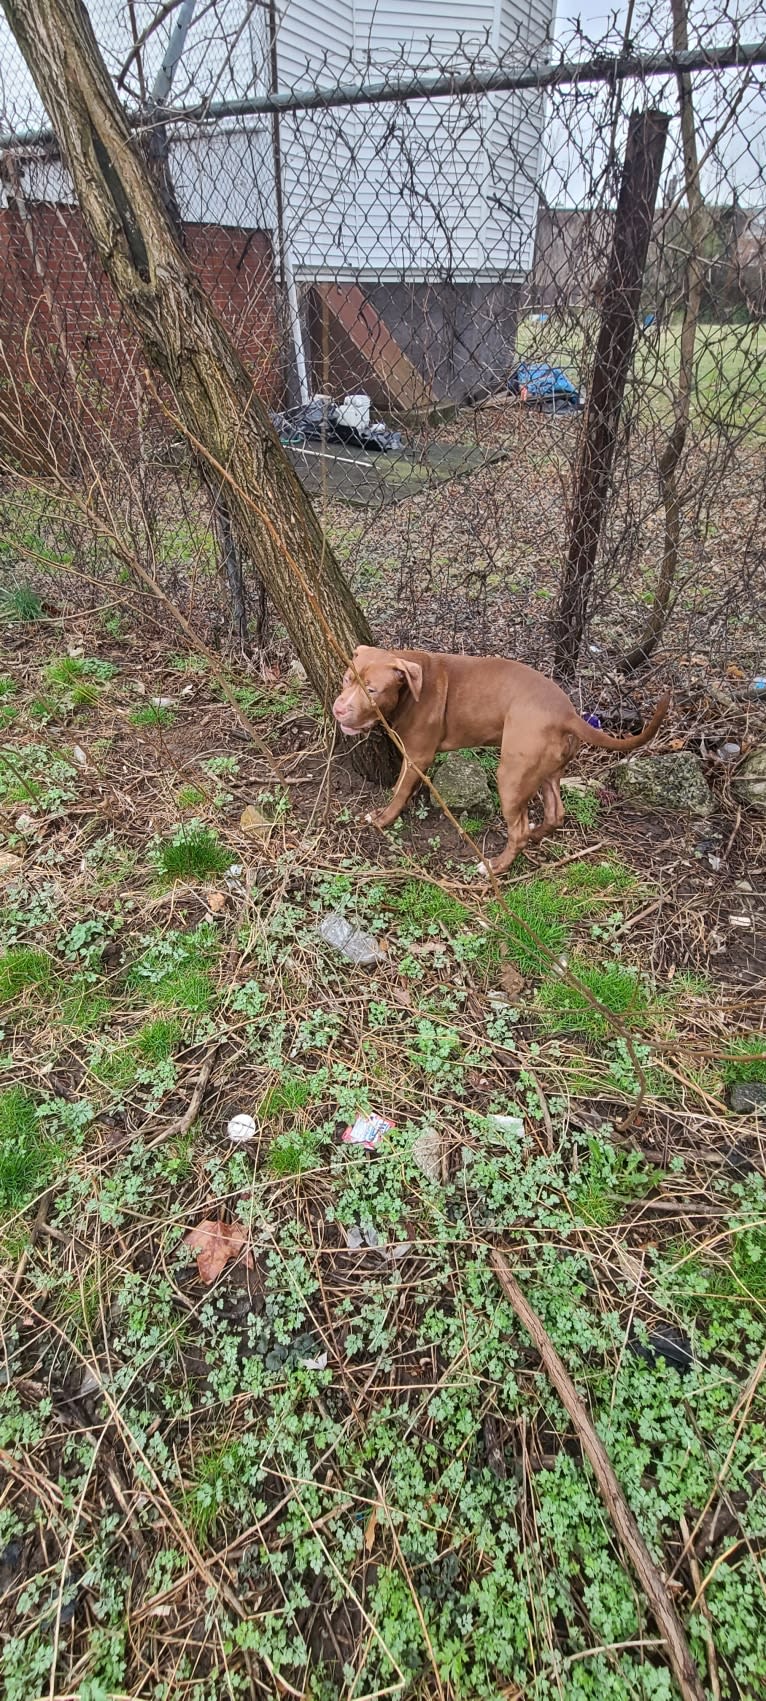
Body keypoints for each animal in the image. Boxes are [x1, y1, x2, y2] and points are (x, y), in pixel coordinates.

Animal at [331, 639, 667, 870]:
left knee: (517, 830)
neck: (412, 686)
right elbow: (401, 786)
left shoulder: (418, 755)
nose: (339, 708)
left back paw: (495, 866)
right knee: (555, 812)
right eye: (347, 678)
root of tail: (567, 714)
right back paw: (536, 834)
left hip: (512, 775)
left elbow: (400, 790)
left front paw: (384, 818)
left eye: (372, 690)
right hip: (546, 769)